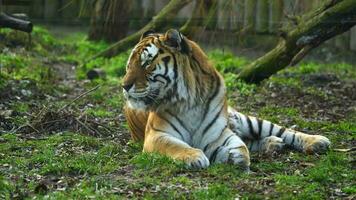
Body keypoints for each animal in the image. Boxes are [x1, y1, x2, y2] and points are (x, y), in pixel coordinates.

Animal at [122, 28, 330, 170]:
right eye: (128, 65)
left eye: (147, 64)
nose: (124, 86)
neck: (190, 100)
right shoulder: (156, 134)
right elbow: (174, 145)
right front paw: (195, 156)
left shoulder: (218, 133)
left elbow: (241, 146)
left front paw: (235, 156)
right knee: (254, 140)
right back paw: (273, 144)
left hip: (249, 120)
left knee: (283, 131)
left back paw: (317, 141)